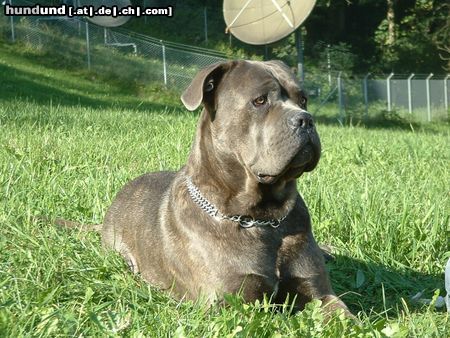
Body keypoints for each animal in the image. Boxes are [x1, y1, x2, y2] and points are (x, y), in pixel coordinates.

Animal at [102, 59, 352, 316]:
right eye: (260, 100)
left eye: (303, 100)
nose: (306, 119)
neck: (263, 218)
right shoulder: (229, 304)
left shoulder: (319, 293)